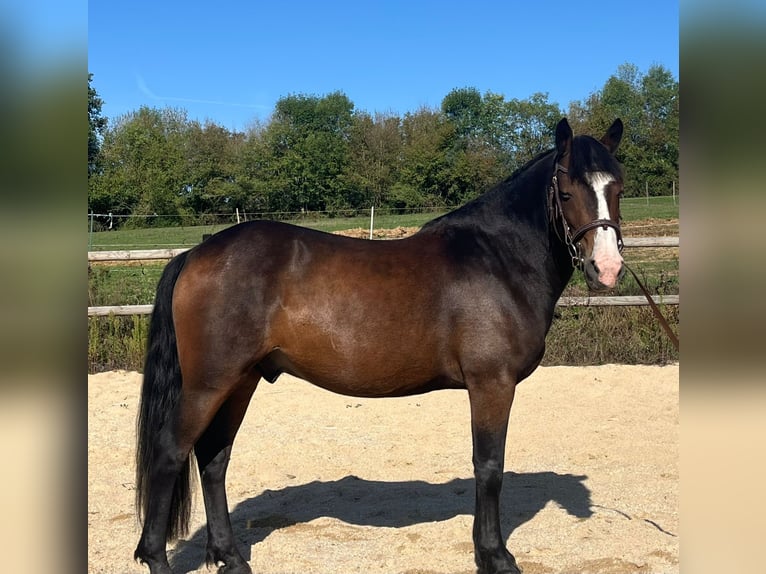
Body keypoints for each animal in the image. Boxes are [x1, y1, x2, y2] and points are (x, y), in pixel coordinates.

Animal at [134, 117, 625, 574]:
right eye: (566, 192)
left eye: (618, 187)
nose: (607, 268)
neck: (498, 259)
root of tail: (195, 255)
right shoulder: (492, 384)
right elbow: (489, 467)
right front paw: (494, 555)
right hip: (209, 384)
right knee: (170, 452)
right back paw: (156, 557)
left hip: (242, 381)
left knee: (214, 457)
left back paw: (231, 557)